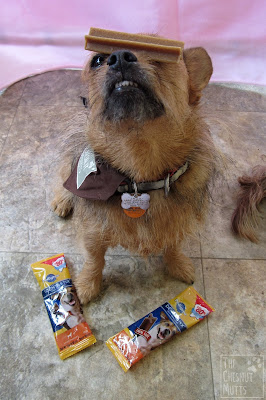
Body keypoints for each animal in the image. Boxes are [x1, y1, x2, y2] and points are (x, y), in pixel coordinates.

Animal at [51, 43, 216, 304]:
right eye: (97, 60)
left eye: (163, 56)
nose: (119, 57)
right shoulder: (93, 231)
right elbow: (94, 259)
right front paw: (87, 285)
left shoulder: (177, 222)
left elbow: (173, 246)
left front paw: (178, 265)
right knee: (64, 176)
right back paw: (63, 200)